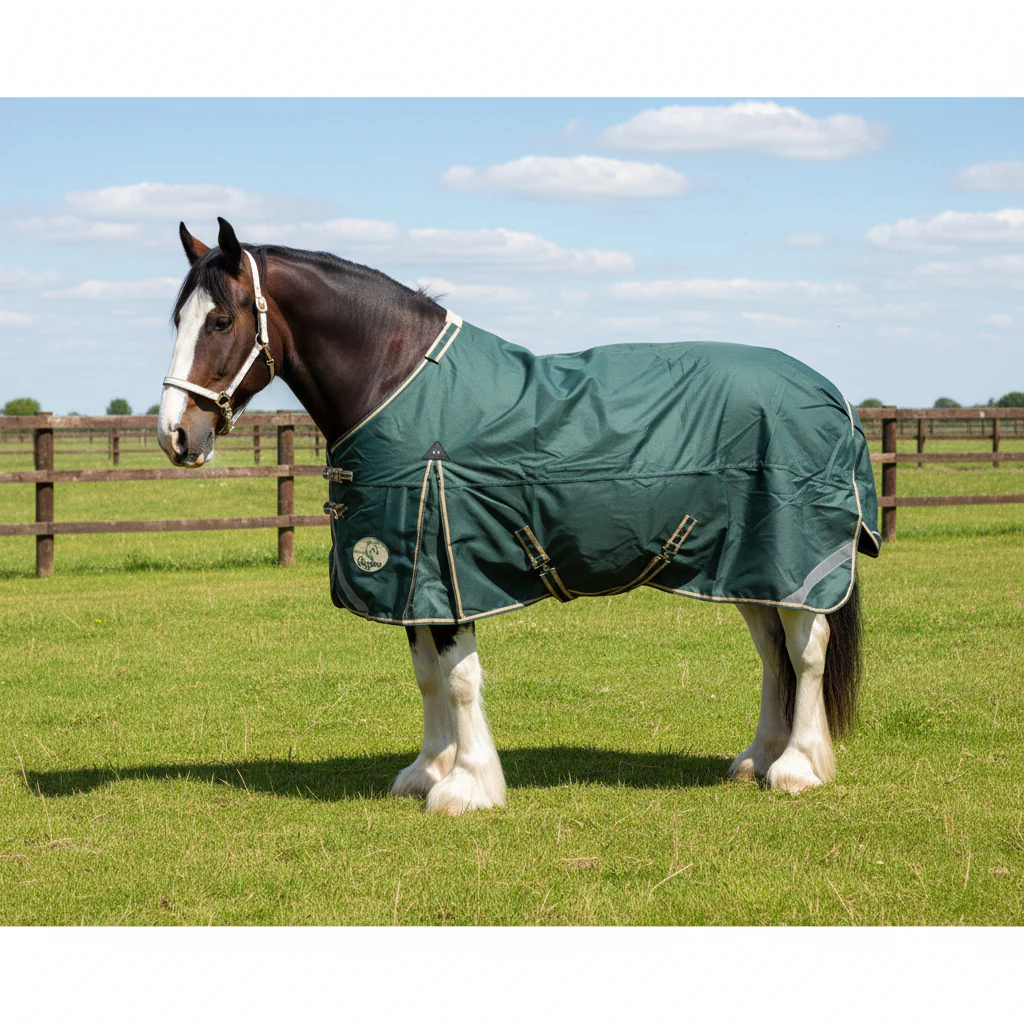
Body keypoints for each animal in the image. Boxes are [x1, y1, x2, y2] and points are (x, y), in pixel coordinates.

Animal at [157, 217, 880, 815]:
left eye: (219, 321)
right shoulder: (411, 572)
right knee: (771, 652)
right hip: (748, 566)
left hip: (793, 555)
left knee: (805, 650)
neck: (397, 384)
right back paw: (757, 758)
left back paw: (797, 768)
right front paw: (427, 769)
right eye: (176, 320)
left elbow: (459, 678)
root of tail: (831, 394)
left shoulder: (448, 561)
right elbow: (426, 676)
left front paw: (467, 786)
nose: (176, 436)